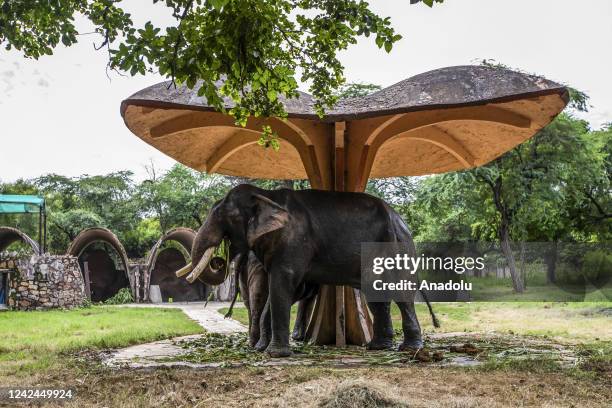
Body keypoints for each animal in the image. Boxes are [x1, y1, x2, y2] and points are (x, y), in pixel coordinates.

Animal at [175, 185, 438, 356]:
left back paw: (408, 349)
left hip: (396, 246)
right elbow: (284, 289)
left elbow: (283, 283)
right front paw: (262, 350)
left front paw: (275, 354)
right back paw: (378, 347)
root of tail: (399, 218)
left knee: (399, 293)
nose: (219, 260)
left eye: (224, 215)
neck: (266, 196)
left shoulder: (293, 243)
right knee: (376, 294)